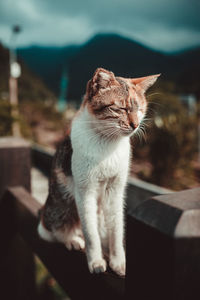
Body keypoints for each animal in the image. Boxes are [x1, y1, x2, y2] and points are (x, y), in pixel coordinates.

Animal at [37, 67, 159, 276]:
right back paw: (73, 240)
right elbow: (90, 233)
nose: (135, 125)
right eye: (122, 109)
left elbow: (117, 230)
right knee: (54, 230)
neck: (108, 144)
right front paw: (96, 262)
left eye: (139, 110)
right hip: (61, 204)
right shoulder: (85, 191)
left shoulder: (116, 190)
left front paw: (118, 261)